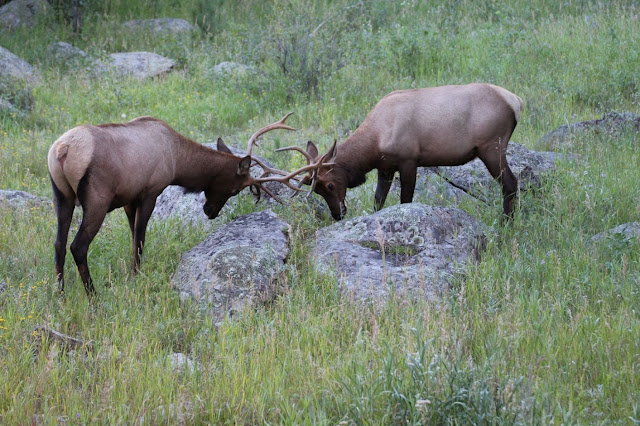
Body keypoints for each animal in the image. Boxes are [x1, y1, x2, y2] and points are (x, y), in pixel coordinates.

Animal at [47, 112, 302, 296]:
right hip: (96, 200)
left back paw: (60, 293)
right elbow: (140, 240)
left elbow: (133, 238)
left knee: (59, 244)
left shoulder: (129, 199)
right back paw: (93, 295)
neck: (178, 161)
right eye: (234, 189)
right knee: (77, 246)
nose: (210, 212)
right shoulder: (150, 192)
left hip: (61, 197)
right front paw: (135, 277)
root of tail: (62, 150)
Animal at [278, 85, 524, 221]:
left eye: (329, 185)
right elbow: (378, 201)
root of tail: (517, 102)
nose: (338, 214)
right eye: (317, 191)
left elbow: (405, 200)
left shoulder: (409, 160)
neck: (376, 140)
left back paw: (506, 225)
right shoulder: (385, 168)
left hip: (492, 147)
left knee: (510, 183)